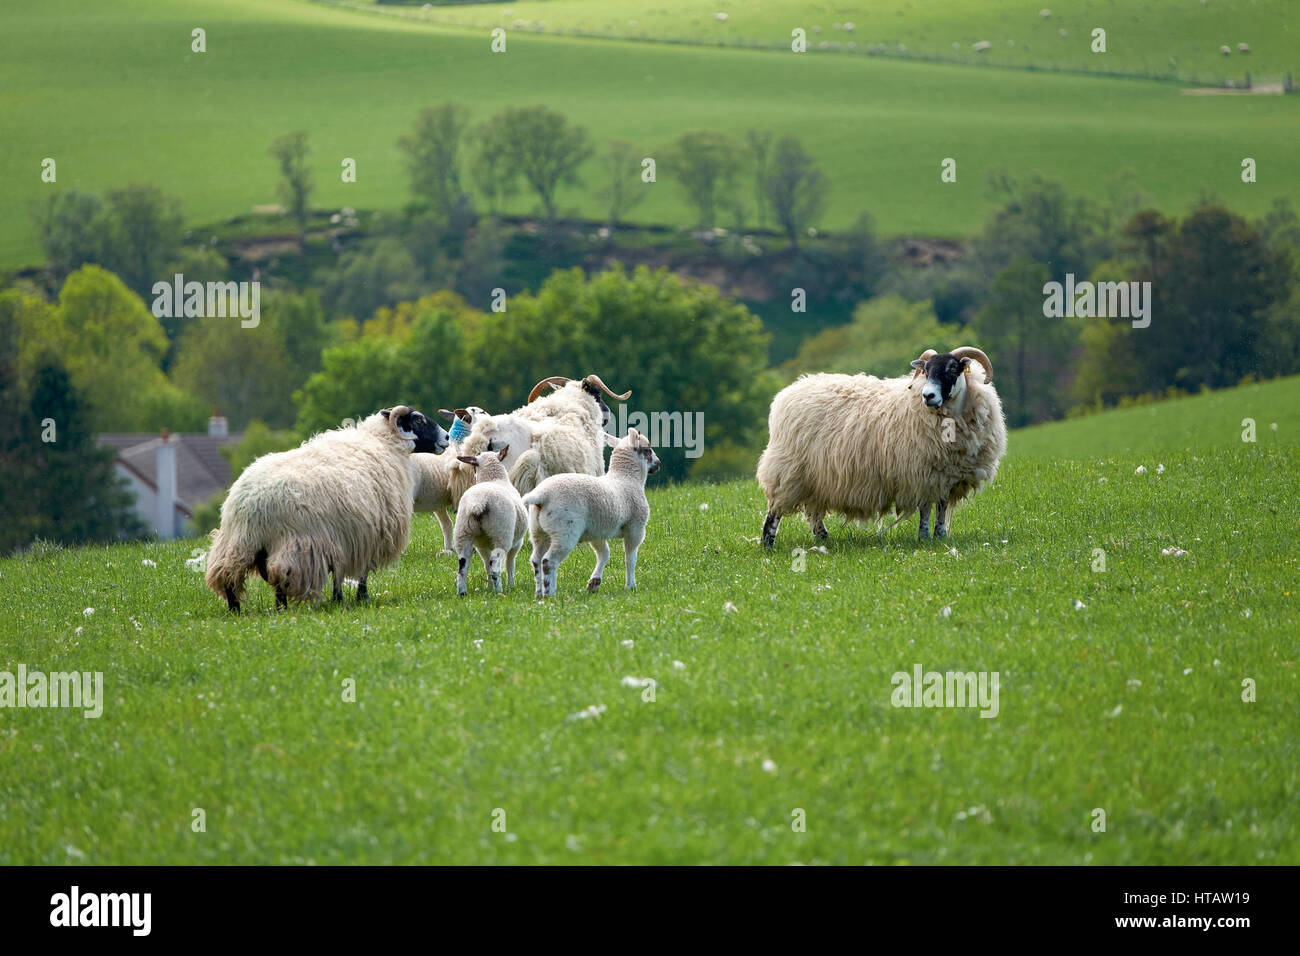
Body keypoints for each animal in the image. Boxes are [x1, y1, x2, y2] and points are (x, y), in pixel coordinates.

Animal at [202, 403, 447, 613]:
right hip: (294, 545)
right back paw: (281, 611)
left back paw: (236, 611)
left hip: (236, 545)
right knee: (280, 578)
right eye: (418, 420)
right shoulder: (367, 534)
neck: (384, 442)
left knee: (228, 577)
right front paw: (360, 598)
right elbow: (361, 573)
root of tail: (249, 505)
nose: (446, 437)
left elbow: (340, 574)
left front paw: (339, 599)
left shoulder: (346, 538)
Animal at [449, 447, 525, 595]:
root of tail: (479, 500)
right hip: (501, 534)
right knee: (495, 566)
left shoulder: (481, 546)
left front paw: (488, 587)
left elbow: (485, 565)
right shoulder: (517, 544)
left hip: (463, 532)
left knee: (462, 567)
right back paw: (499, 591)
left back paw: (462, 592)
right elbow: (510, 565)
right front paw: (511, 586)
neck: (494, 478)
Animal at [517, 431, 660, 598]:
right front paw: (630, 585)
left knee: (536, 560)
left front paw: (594, 583)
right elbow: (630, 558)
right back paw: (550, 594)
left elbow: (604, 554)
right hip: (565, 531)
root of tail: (541, 495)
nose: (658, 463)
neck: (627, 478)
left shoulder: (597, 532)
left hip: (538, 531)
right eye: (647, 449)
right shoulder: (635, 528)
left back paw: (539, 593)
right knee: (549, 561)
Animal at [759, 348, 1008, 548]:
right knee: (775, 510)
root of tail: (787, 393)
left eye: (952, 369)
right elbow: (926, 509)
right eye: (926, 371)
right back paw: (768, 544)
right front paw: (924, 537)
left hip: (815, 477)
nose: (928, 396)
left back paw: (824, 540)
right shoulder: (922, 473)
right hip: (789, 470)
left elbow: (941, 507)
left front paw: (940, 536)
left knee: (814, 512)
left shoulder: (946, 476)